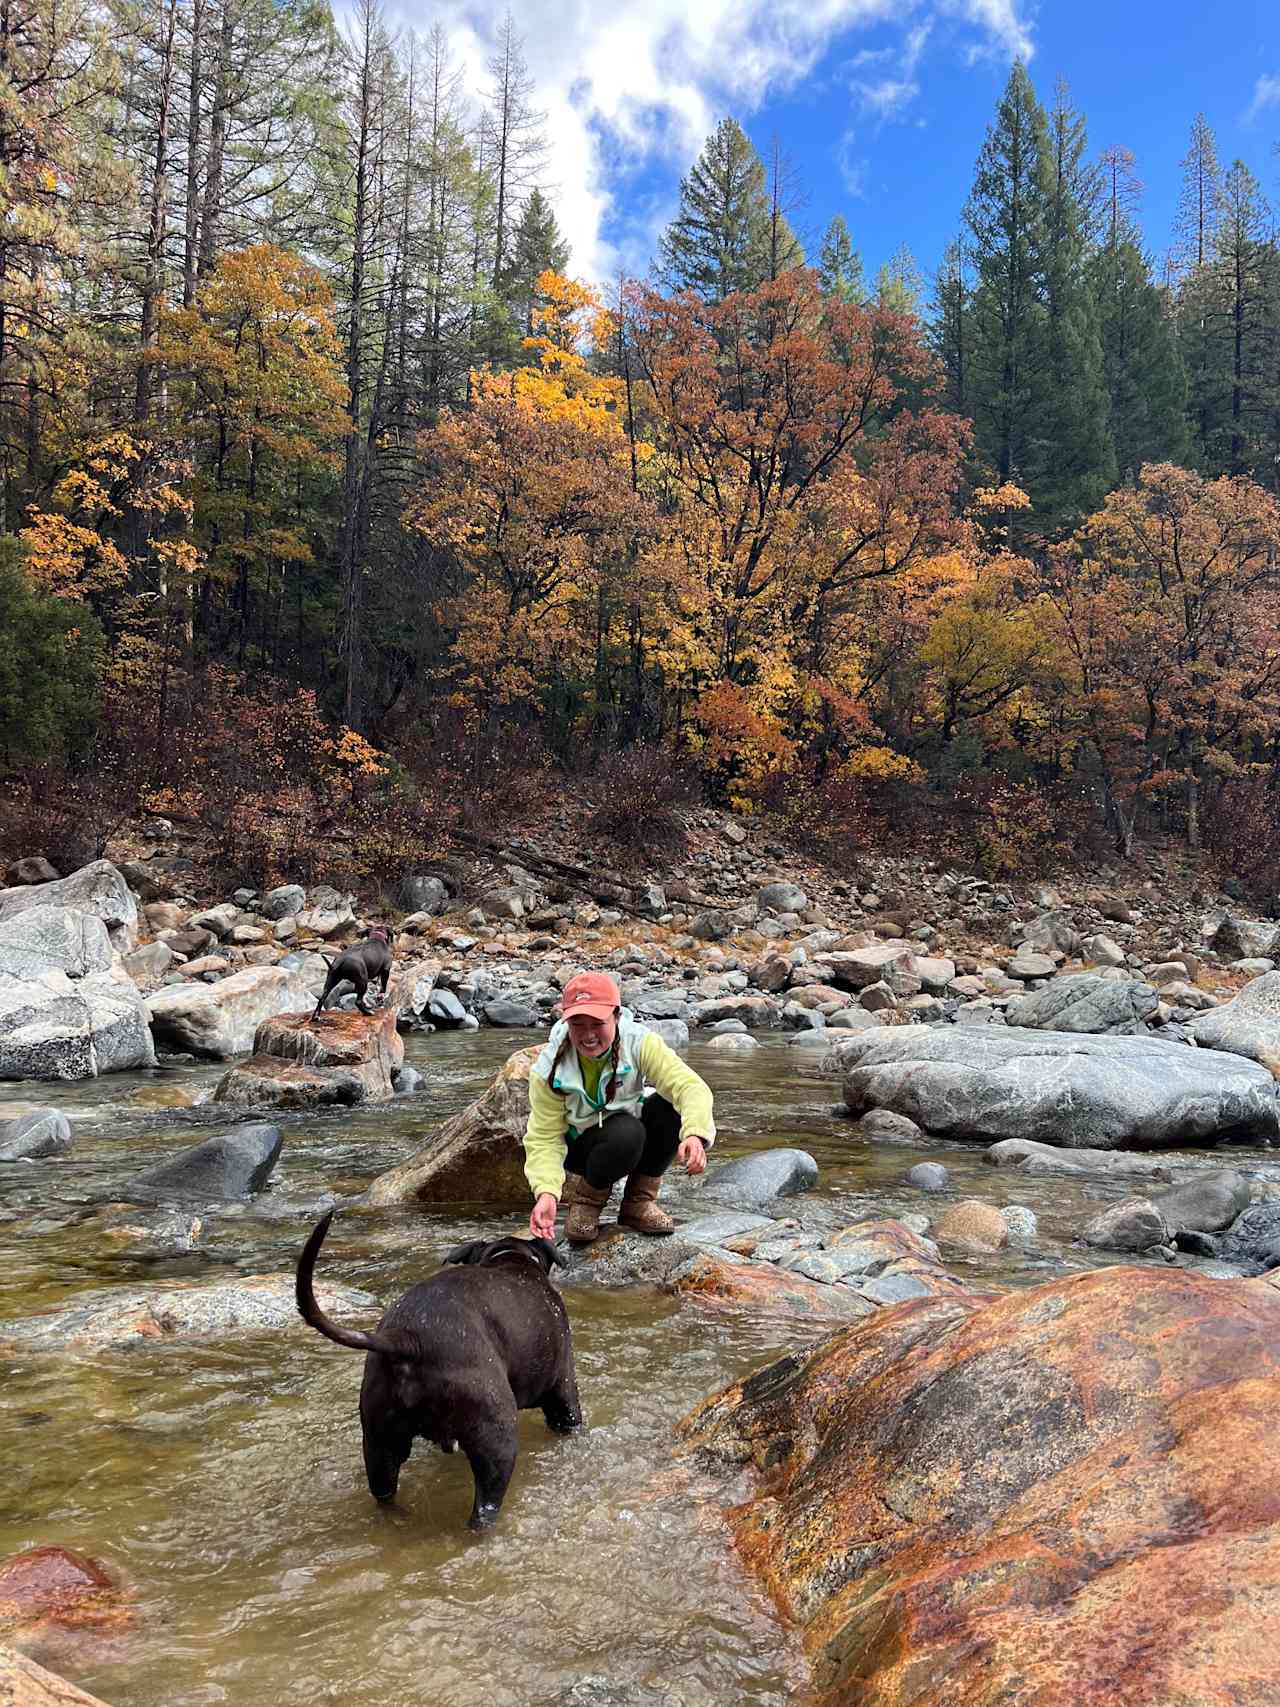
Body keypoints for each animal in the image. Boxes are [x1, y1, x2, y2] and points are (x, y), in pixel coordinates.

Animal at [295, 1208, 580, 1529]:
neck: (510, 1257)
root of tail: (408, 1339)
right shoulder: (564, 1393)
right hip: (498, 1437)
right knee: (483, 1510)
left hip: (379, 1442)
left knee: (384, 1492)